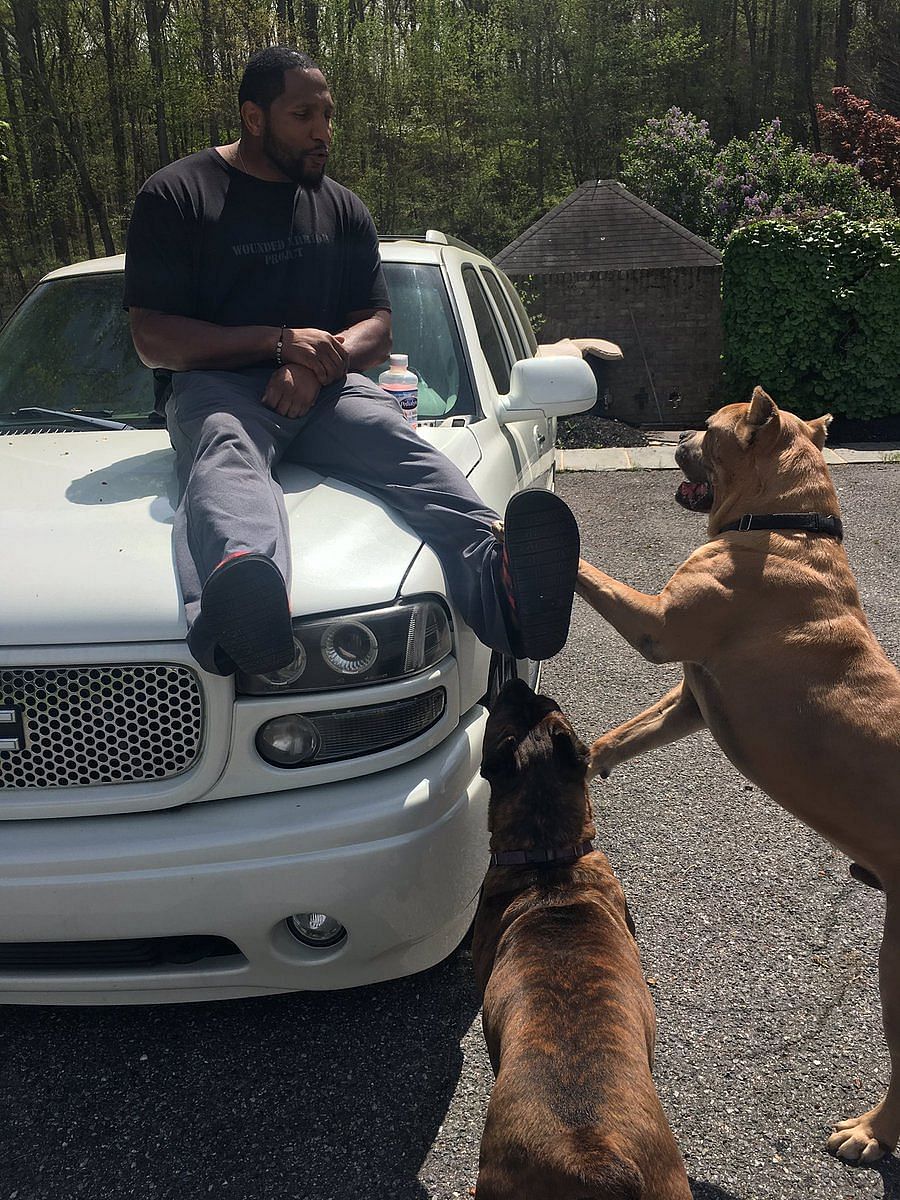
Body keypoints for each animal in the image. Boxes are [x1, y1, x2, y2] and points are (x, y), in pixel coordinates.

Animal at [578, 386, 900, 1161]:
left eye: (707, 429)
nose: (677, 437)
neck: (788, 522)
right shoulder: (690, 701)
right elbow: (621, 734)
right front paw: (582, 762)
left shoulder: (658, 623)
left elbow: (589, 571)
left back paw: (870, 1133)